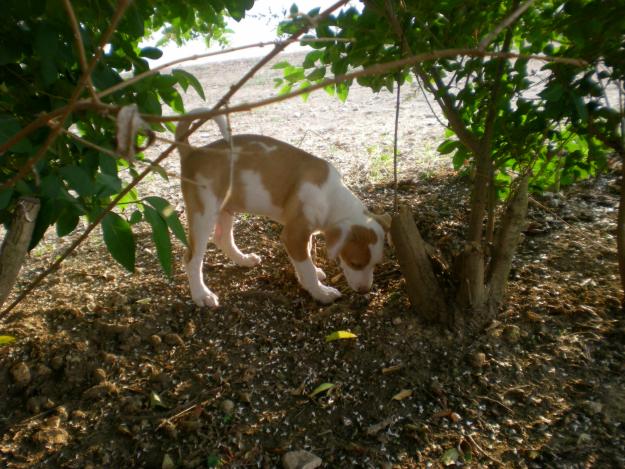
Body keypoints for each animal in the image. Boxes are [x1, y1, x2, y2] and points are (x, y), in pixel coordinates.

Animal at [176, 113, 390, 308]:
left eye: (376, 263)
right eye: (355, 263)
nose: (364, 290)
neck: (331, 197)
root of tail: (192, 152)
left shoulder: (303, 233)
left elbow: (307, 258)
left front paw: (314, 274)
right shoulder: (293, 235)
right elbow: (307, 269)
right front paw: (321, 292)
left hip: (225, 209)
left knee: (223, 239)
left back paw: (244, 260)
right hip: (203, 214)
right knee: (191, 259)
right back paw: (202, 295)